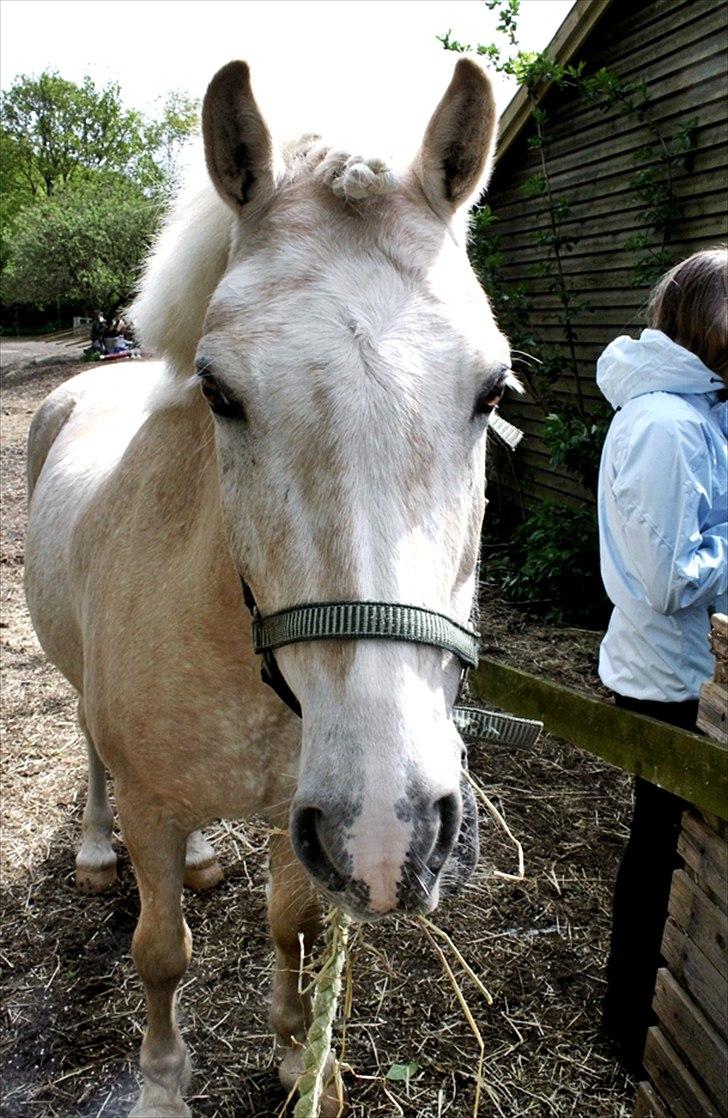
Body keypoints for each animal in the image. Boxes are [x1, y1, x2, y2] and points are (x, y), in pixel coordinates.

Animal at [22, 56, 512, 1113]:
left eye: (492, 391)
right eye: (219, 391)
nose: (394, 832)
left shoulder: (307, 814)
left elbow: (293, 925)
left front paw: (299, 1058)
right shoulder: (157, 806)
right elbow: (160, 952)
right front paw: (164, 1086)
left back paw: (209, 859)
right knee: (90, 750)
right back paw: (93, 852)